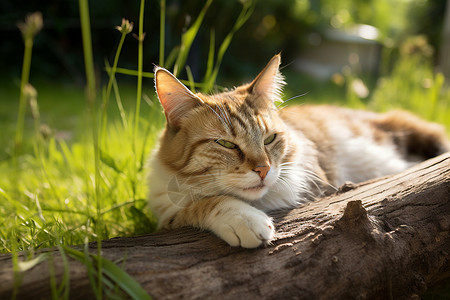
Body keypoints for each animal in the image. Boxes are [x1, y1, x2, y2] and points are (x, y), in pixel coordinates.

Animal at [147, 54, 446, 248]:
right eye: (226, 144)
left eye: (269, 139)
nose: (263, 169)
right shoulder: (166, 213)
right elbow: (202, 203)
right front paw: (243, 218)